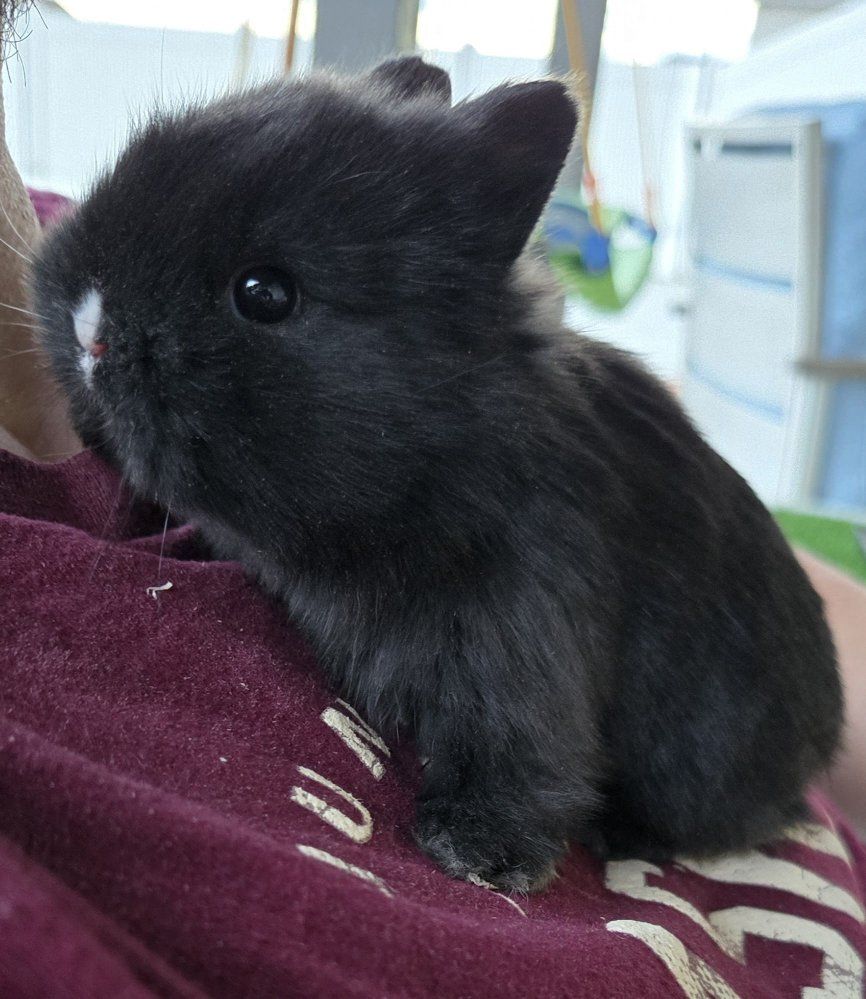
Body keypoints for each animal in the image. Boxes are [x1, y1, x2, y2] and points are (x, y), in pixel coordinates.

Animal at [32, 56, 843, 892]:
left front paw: (479, 851)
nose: (89, 327)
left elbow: (523, 744)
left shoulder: (522, 629)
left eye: (265, 294)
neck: (442, 451)